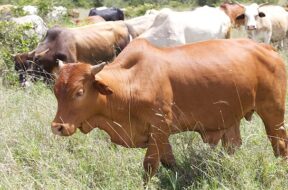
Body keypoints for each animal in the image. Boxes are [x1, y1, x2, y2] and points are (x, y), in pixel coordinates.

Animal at [51, 38, 288, 183]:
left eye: (79, 92)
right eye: (56, 91)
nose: (57, 127)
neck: (131, 82)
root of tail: (267, 49)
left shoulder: (159, 126)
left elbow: (149, 165)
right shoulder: (160, 134)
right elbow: (169, 162)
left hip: (273, 111)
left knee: (279, 143)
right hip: (232, 118)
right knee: (232, 146)